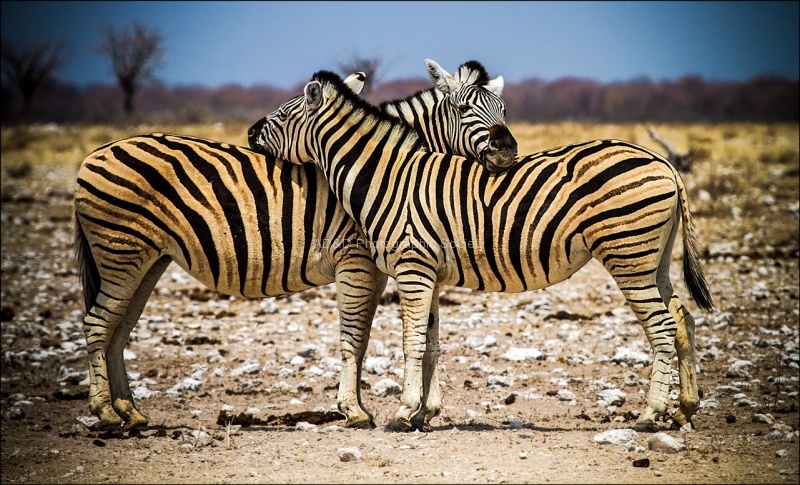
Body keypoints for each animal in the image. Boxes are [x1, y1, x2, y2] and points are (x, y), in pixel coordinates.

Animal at [75, 64, 514, 431]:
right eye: (464, 108)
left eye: (503, 110)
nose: (509, 150)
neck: (387, 173)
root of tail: (95, 152)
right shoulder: (356, 261)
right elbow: (356, 336)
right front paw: (355, 411)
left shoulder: (392, 265)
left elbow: (402, 338)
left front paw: (416, 410)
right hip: (121, 251)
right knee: (97, 323)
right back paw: (106, 413)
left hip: (149, 258)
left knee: (118, 328)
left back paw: (131, 413)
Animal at [248, 70, 714, 432]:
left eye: (284, 114)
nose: (250, 133)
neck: (388, 178)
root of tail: (663, 162)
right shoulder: (428, 272)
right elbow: (431, 343)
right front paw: (422, 415)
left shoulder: (412, 268)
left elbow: (411, 343)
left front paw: (401, 413)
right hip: (653, 259)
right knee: (682, 318)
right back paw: (684, 410)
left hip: (628, 254)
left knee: (661, 327)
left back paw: (650, 415)